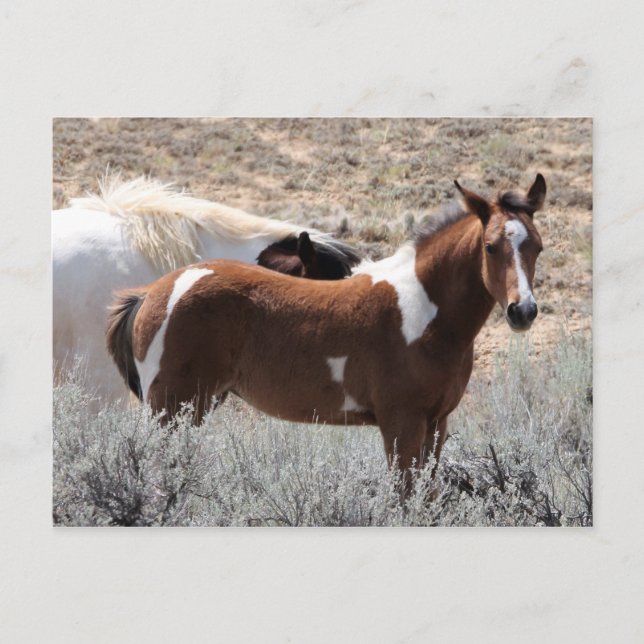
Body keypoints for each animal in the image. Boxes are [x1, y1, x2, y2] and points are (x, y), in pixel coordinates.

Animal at [107, 175, 546, 493]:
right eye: (489, 246)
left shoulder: (437, 424)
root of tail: (152, 293)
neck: (424, 313)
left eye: (538, 247)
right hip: (170, 409)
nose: (522, 311)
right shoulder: (402, 423)